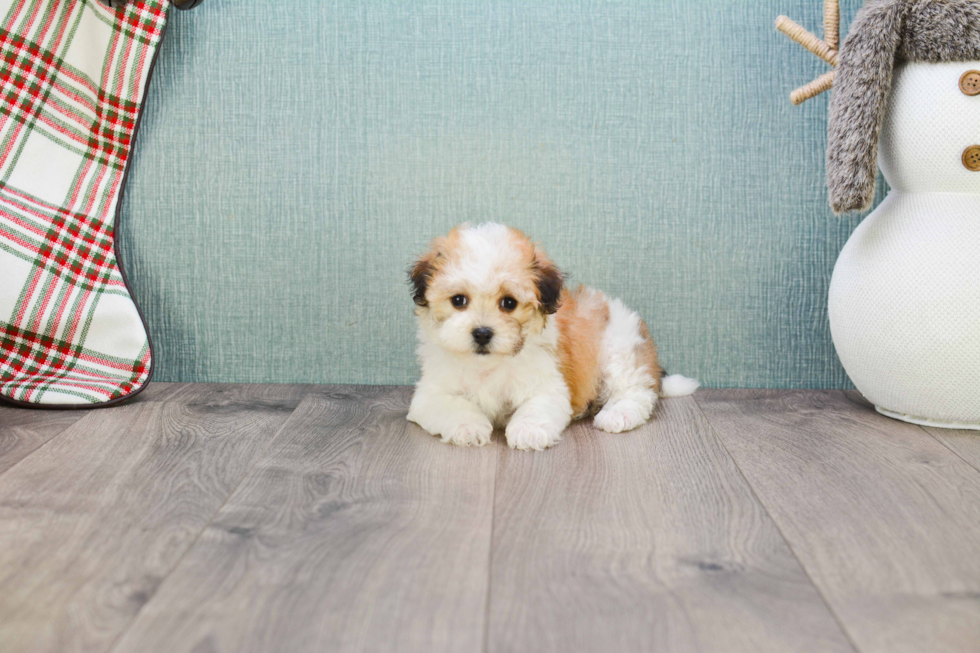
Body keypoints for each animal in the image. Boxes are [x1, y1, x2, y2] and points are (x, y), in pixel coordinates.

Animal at [404, 223, 696, 448]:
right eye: (458, 300)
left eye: (509, 303)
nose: (483, 333)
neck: (487, 366)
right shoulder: (430, 393)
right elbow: (450, 405)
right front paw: (468, 427)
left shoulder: (549, 384)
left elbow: (536, 406)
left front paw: (528, 431)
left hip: (621, 348)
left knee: (636, 391)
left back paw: (618, 415)